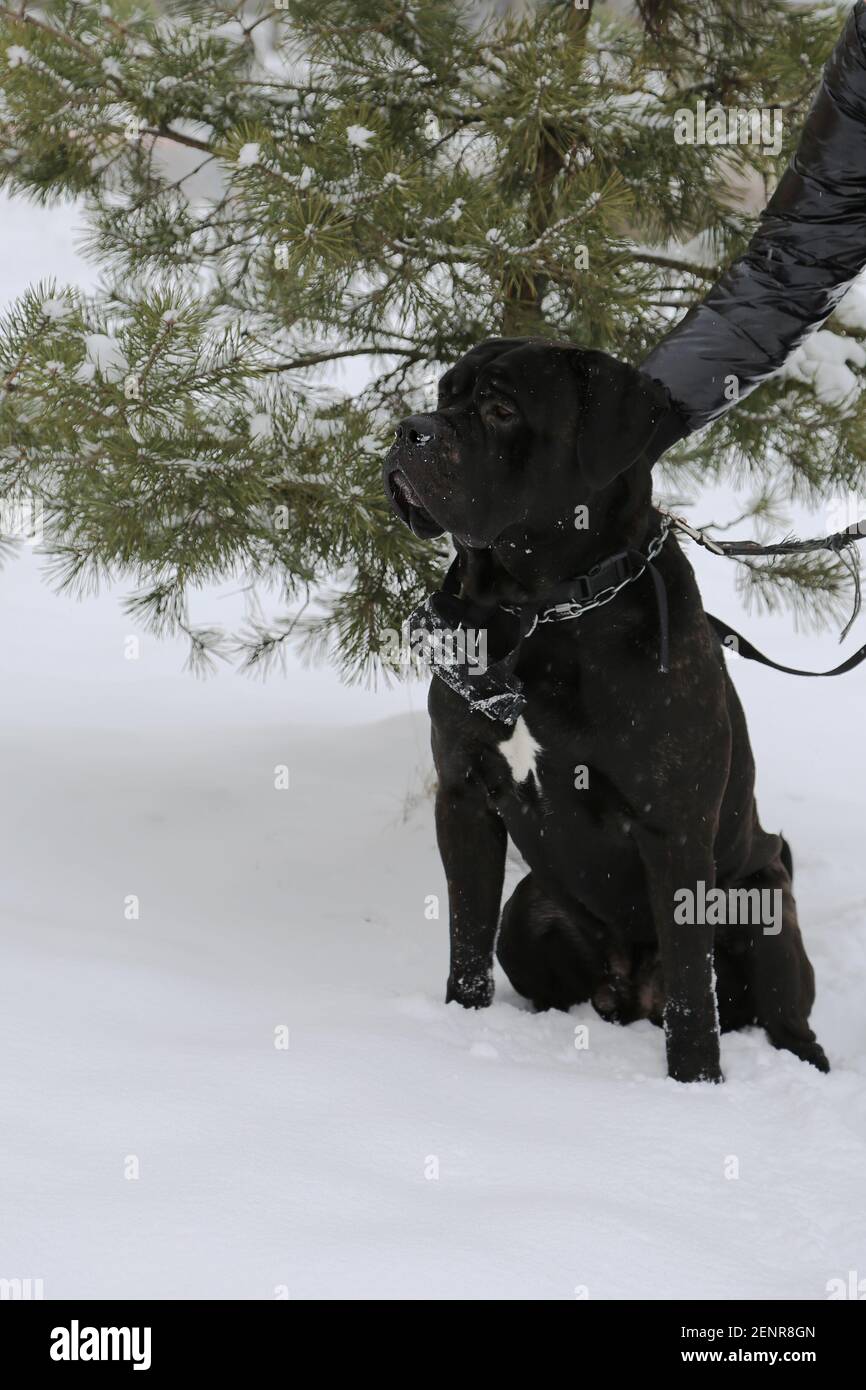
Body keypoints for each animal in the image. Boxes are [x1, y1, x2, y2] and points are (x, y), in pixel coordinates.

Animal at [383, 341, 828, 1078]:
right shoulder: (465, 792)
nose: (409, 430)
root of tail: (631, 986)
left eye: (501, 409)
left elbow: (692, 987)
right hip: (530, 910)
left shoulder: (674, 829)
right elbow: (467, 934)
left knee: (779, 1009)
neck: (542, 610)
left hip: (763, 902)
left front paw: (696, 1083)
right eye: (444, 394)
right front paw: (462, 1022)